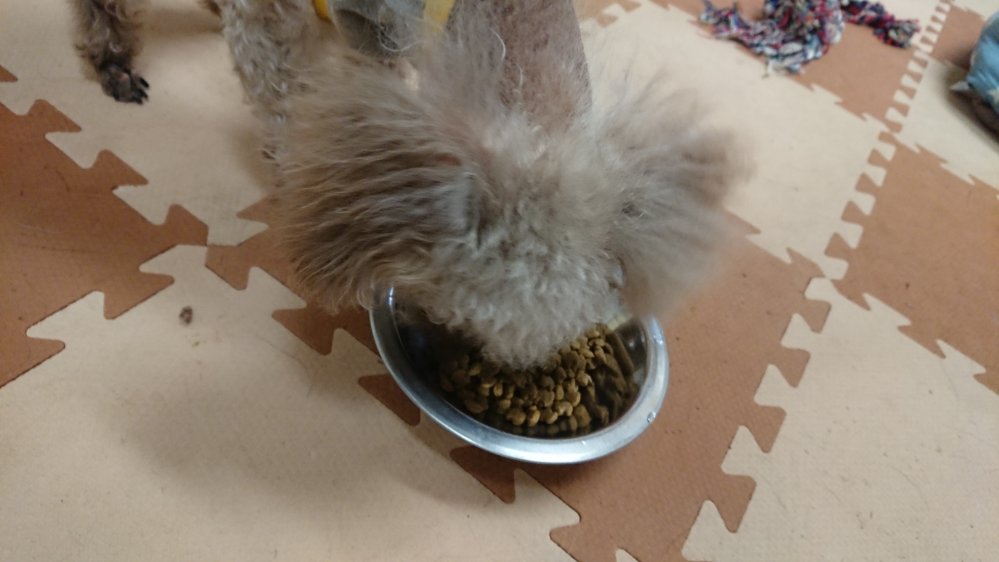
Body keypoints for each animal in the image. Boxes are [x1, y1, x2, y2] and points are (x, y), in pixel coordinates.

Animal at [72, 0, 751, 368]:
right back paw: (113, 61)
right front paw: (296, 170)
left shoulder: (380, 32)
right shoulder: (289, 20)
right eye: (459, 319)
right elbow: (282, 93)